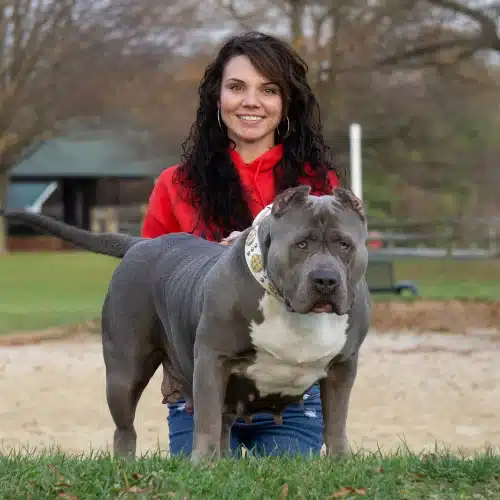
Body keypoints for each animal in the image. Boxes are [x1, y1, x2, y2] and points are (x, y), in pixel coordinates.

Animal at [0, 186, 372, 462]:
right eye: (301, 244)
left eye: (344, 244)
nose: (325, 280)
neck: (292, 309)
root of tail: (141, 244)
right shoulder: (212, 360)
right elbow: (204, 421)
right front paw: (200, 465)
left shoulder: (343, 368)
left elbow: (336, 421)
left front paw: (340, 463)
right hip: (124, 371)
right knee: (126, 427)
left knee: (223, 424)